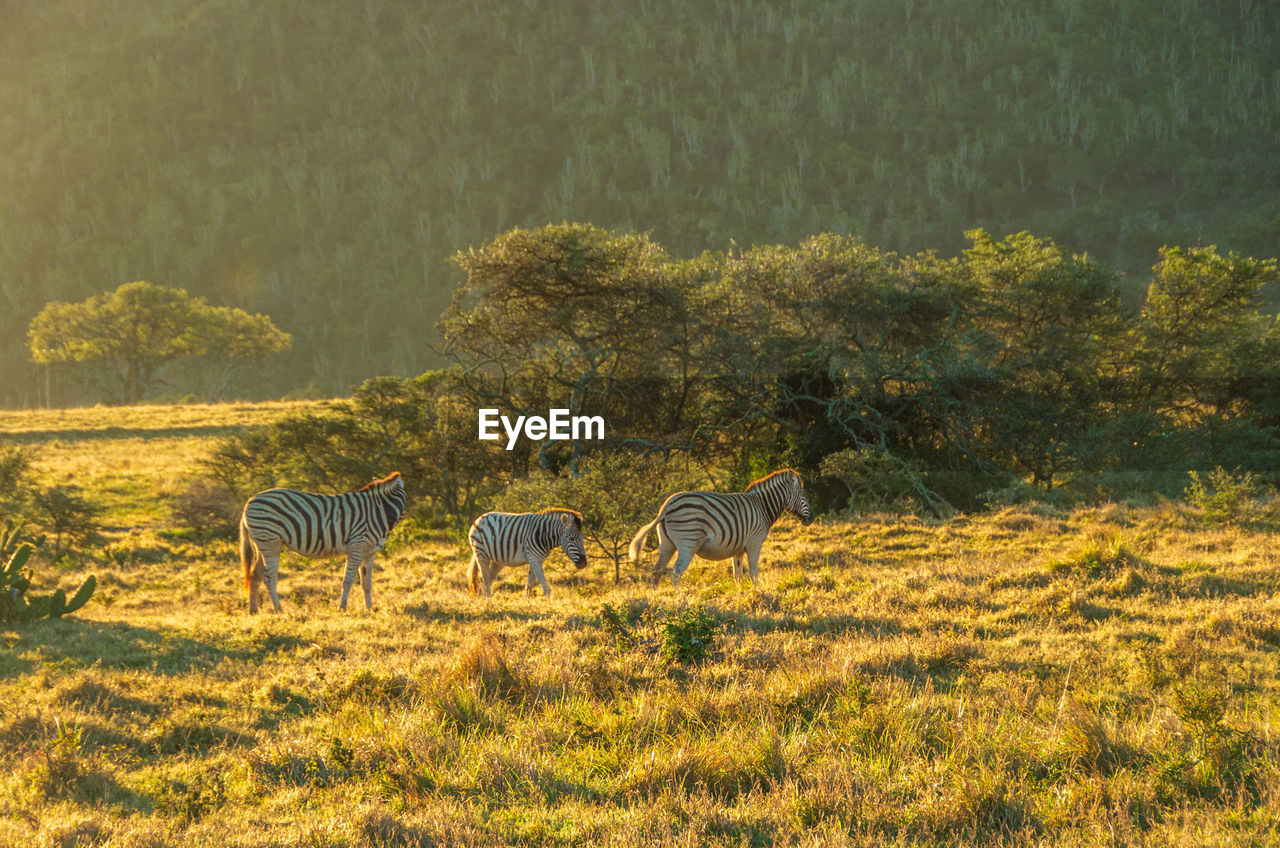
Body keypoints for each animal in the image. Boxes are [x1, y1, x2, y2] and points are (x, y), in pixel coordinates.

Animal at [236, 471, 404, 617]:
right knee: (269, 578)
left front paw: (370, 608)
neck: (379, 511)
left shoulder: (370, 552)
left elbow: (366, 583)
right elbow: (348, 580)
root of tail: (249, 502)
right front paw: (342, 608)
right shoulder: (356, 546)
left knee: (254, 575)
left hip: (262, 543)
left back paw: (253, 611)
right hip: (271, 541)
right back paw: (279, 609)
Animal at [627, 471, 808, 591]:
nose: (810, 519)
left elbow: (737, 574)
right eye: (804, 495)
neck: (762, 507)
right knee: (676, 572)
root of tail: (666, 507)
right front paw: (758, 592)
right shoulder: (754, 543)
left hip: (666, 544)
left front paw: (740, 594)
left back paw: (655, 597)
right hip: (688, 542)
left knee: (656, 571)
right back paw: (679, 597)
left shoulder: (739, 549)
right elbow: (754, 572)